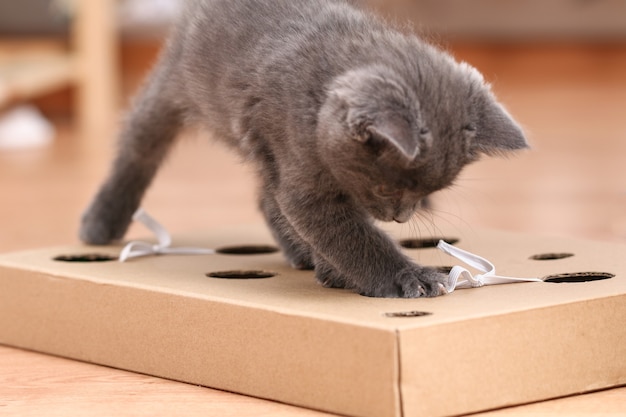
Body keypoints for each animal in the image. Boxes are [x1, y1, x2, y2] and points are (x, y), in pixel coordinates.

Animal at [79, 0, 528, 300]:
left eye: (427, 194)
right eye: (388, 189)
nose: (402, 217)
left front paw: (333, 268)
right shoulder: (301, 168)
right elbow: (347, 234)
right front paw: (407, 277)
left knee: (266, 197)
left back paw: (302, 254)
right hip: (176, 87)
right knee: (138, 148)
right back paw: (101, 221)